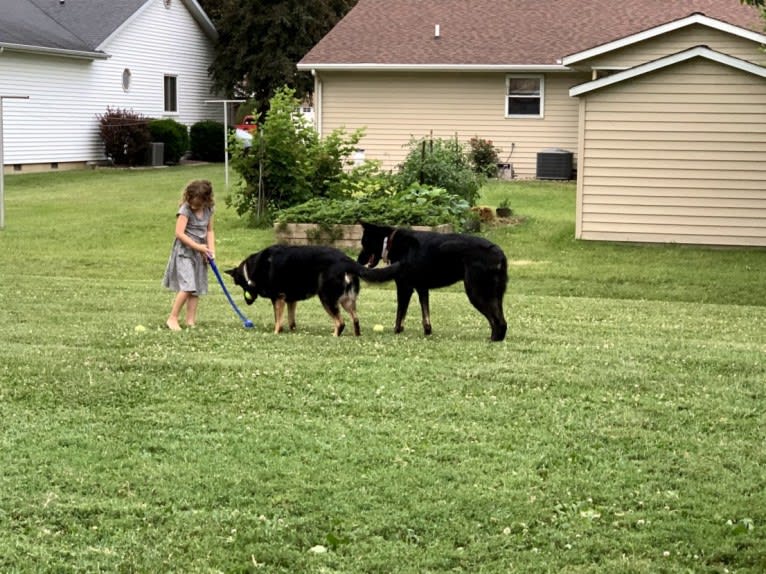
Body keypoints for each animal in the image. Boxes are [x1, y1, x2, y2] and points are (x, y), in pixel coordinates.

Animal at [226, 244, 396, 338]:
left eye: (239, 285)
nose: (247, 302)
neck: (251, 270)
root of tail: (346, 260)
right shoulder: (290, 300)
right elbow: (291, 321)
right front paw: (291, 331)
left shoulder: (278, 298)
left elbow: (278, 321)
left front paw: (276, 333)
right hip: (347, 301)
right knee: (355, 320)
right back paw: (356, 336)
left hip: (326, 298)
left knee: (340, 322)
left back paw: (334, 336)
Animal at [358, 223, 510, 342]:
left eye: (363, 243)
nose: (358, 260)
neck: (389, 241)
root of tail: (499, 253)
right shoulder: (422, 289)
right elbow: (426, 315)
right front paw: (427, 332)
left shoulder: (404, 287)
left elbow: (400, 314)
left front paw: (397, 331)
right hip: (495, 295)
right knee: (502, 320)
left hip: (476, 293)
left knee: (496, 320)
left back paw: (493, 339)